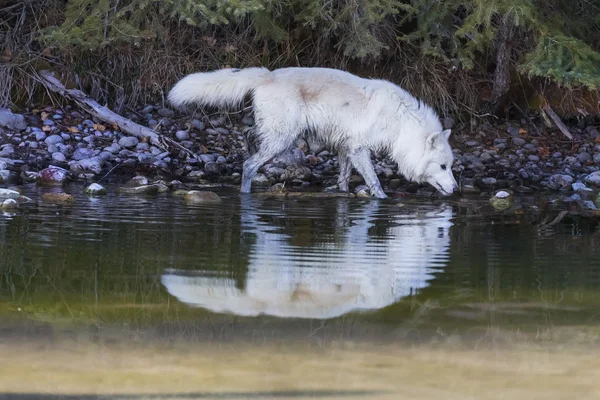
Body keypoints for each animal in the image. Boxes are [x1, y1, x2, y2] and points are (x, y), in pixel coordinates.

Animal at [166, 67, 458, 198]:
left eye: (451, 166)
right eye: (443, 166)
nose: (456, 190)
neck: (401, 122)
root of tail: (267, 75)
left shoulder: (345, 148)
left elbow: (343, 178)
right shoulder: (359, 149)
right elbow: (375, 182)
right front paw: (382, 201)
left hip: (275, 134)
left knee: (248, 139)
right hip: (283, 139)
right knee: (249, 164)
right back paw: (245, 193)